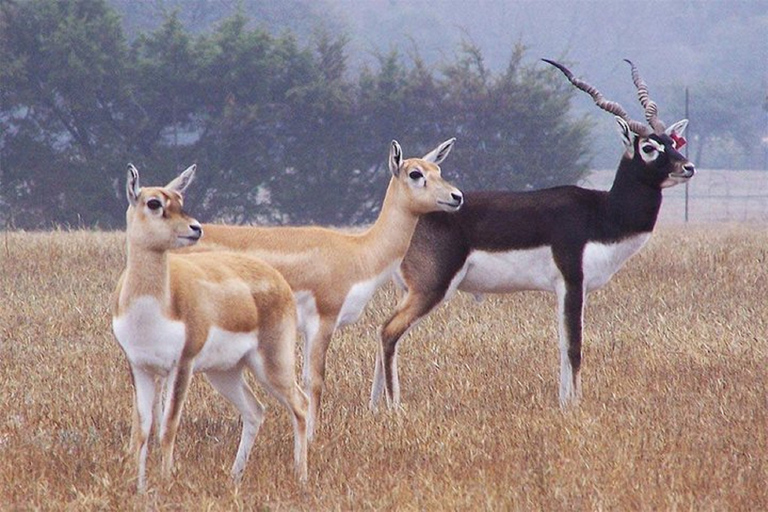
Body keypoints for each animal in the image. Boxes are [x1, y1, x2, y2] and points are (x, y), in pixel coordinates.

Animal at [112, 164, 308, 492]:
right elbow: (142, 430)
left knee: (301, 405)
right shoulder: (140, 366)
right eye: (154, 203)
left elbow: (168, 426)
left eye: (180, 199)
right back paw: (234, 477)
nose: (196, 228)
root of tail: (276, 277)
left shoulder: (183, 364)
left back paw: (301, 477)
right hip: (225, 372)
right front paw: (138, 487)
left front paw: (165, 482)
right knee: (255, 410)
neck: (153, 306)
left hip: (271, 364)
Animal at [189, 141, 464, 440]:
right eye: (415, 173)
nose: (457, 196)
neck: (358, 253)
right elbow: (315, 380)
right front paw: (312, 436)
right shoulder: (324, 320)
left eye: (437, 169)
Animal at [370, 59, 696, 412]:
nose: (688, 167)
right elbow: (574, 347)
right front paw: (574, 407)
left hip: (409, 290)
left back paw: (374, 407)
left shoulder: (567, 290)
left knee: (383, 331)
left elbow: (563, 345)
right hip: (432, 288)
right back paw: (394, 407)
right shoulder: (572, 282)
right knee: (389, 331)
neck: (602, 213)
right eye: (648, 147)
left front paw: (565, 402)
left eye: (673, 142)